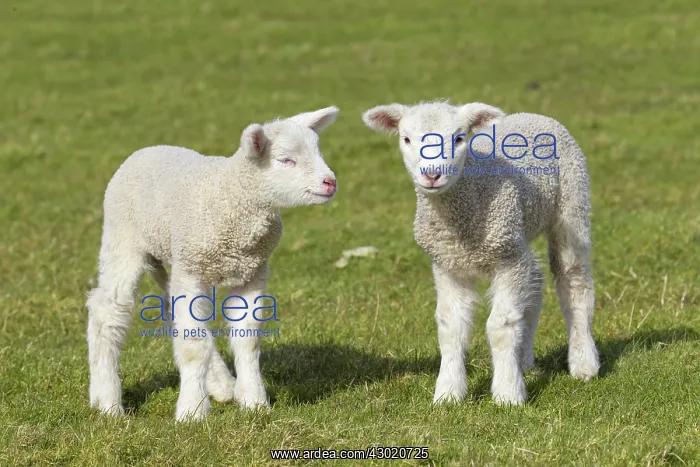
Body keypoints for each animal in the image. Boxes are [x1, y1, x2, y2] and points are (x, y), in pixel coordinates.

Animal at [86, 106, 340, 421]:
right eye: (286, 160)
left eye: (318, 151)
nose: (330, 182)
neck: (232, 196)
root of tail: (145, 150)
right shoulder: (192, 271)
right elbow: (194, 347)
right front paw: (192, 412)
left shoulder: (252, 273)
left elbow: (247, 340)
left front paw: (255, 402)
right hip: (124, 240)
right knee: (107, 312)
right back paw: (108, 402)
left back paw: (222, 385)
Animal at [362, 101, 600, 405]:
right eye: (405, 139)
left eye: (459, 138)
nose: (432, 174)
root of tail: (533, 114)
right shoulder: (448, 265)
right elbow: (450, 328)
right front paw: (448, 393)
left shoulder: (507, 260)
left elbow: (501, 326)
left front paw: (508, 393)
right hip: (518, 235)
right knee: (534, 281)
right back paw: (524, 359)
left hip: (571, 200)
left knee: (574, 280)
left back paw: (584, 363)